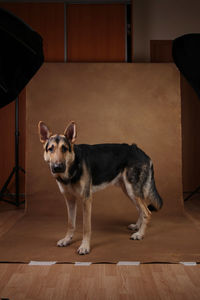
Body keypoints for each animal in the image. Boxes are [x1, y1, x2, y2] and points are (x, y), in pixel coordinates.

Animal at [38, 120, 162, 254]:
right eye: (50, 149)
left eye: (64, 149)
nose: (57, 167)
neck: (73, 166)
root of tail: (141, 152)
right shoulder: (70, 200)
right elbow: (70, 223)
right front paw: (67, 239)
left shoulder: (86, 200)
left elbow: (86, 227)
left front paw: (85, 246)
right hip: (129, 191)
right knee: (141, 209)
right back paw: (137, 227)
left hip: (132, 190)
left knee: (147, 212)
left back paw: (140, 234)